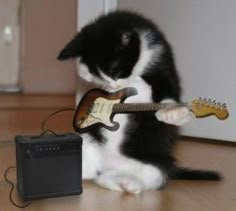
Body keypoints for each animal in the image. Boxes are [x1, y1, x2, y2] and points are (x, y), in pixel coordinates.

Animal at [58, 10, 221, 194]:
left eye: (115, 71)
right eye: (95, 77)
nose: (113, 86)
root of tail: (106, 165)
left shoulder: (163, 64)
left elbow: (166, 90)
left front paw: (173, 112)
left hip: (157, 164)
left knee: (150, 176)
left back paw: (128, 183)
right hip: (85, 142)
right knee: (93, 173)